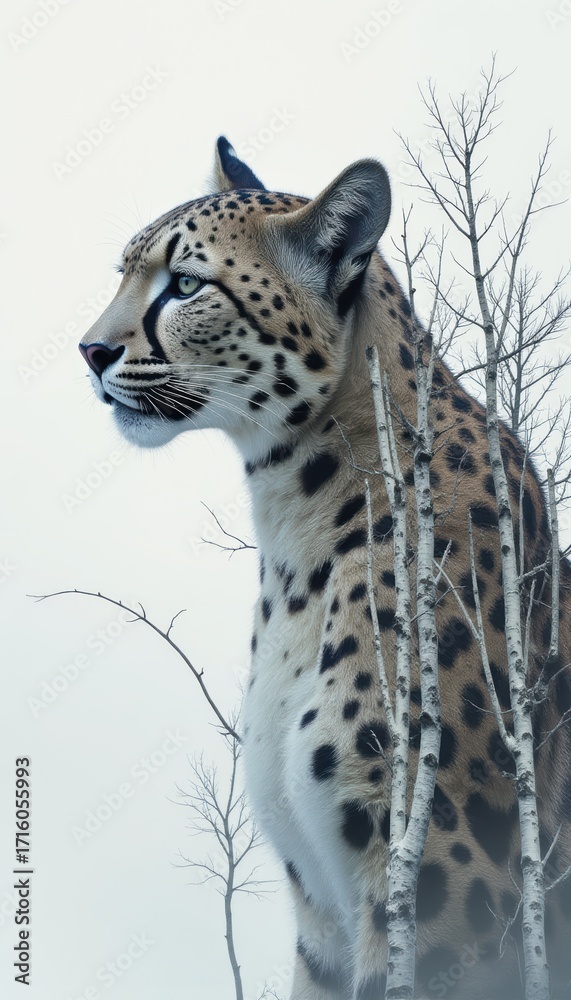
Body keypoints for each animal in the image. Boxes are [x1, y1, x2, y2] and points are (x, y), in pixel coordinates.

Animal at [79, 136, 571, 999]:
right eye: (124, 271)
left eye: (185, 284)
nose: (90, 350)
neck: (291, 532)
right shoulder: (321, 914)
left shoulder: (445, 889)